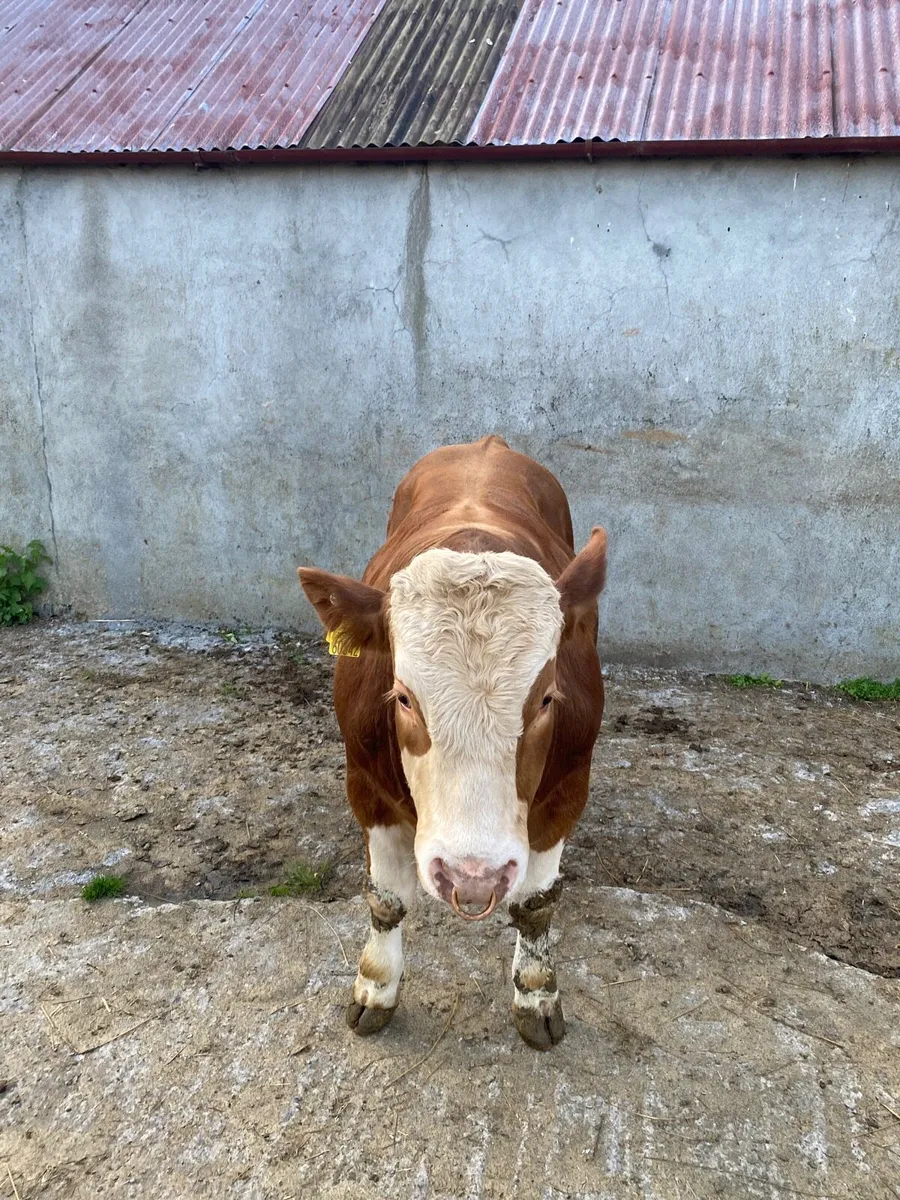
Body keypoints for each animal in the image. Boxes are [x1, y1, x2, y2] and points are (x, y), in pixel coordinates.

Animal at [298, 436, 607, 1050]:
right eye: (402, 697)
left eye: (546, 698)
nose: (473, 876)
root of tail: (489, 444)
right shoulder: (365, 786)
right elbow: (386, 898)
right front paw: (376, 986)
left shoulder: (568, 788)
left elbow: (536, 905)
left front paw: (537, 994)